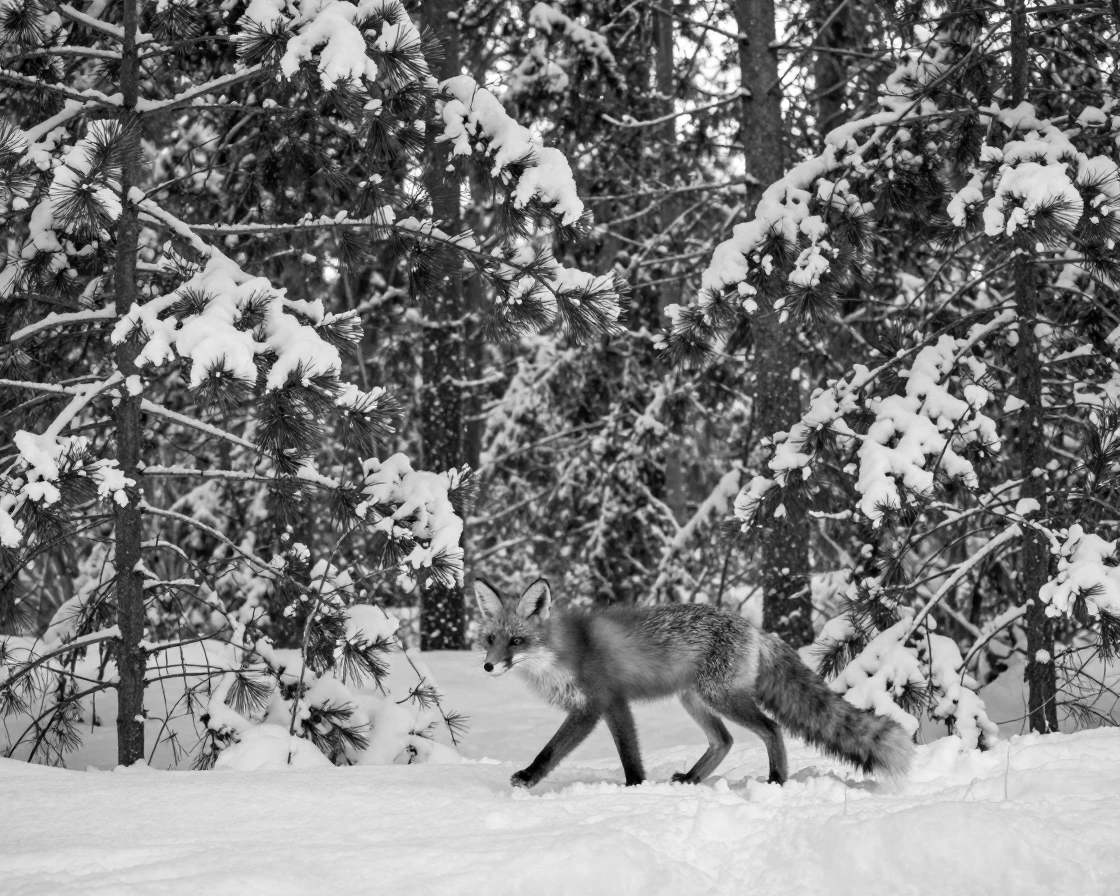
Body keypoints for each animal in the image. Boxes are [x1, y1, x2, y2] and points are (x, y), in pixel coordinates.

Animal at [474, 577, 914, 789]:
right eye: (490, 639)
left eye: (517, 641)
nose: (488, 667)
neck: (563, 651)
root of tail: (756, 629)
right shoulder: (600, 706)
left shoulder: (603, 703)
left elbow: (565, 751)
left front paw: (633, 788)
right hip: (694, 700)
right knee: (724, 741)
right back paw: (691, 779)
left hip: (721, 697)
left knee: (771, 729)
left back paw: (776, 780)